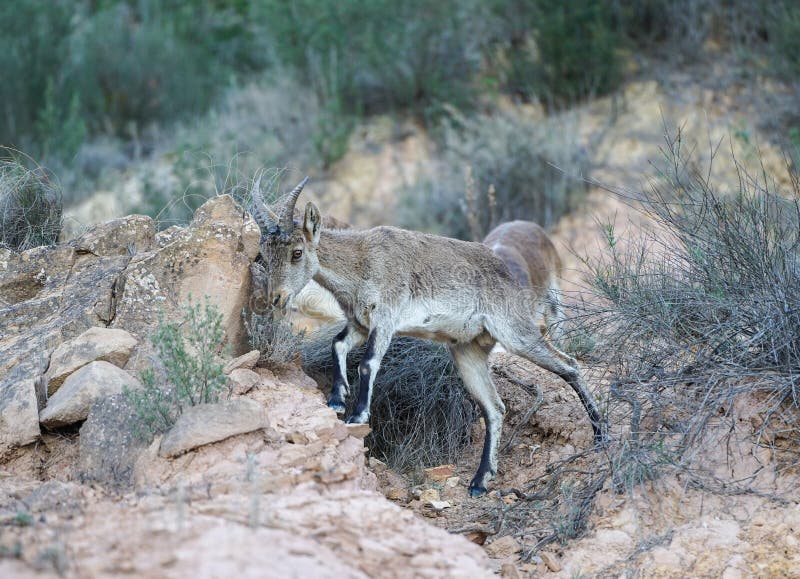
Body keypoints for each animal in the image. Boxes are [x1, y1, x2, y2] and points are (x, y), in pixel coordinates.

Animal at [250, 177, 606, 497]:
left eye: (297, 252)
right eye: (263, 253)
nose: (276, 298)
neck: (362, 262)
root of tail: (505, 271)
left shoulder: (386, 318)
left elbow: (367, 363)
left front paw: (357, 414)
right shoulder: (360, 324)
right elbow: (337, 344)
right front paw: (337, 398)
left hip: (517, 333)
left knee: (569, 365)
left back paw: (601, 435)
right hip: (467, 352)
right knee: (495, 408)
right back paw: (480, 481)